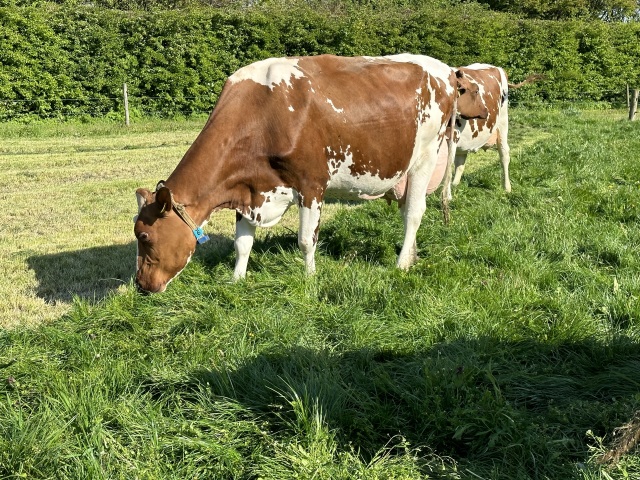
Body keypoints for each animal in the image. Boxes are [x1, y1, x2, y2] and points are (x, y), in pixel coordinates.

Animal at [134, 54, 488, 293]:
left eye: (144, 236)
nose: (140, 285)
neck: (262, 113)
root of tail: (444, 70)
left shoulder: (311, 183)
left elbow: (306, 240)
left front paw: (309, 279)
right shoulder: (250, 189)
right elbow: (243, 243)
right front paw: (237, 279)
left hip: (425, 155)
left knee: (415, 212)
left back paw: (401, 264)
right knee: (406, 211)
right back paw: (411, 256)